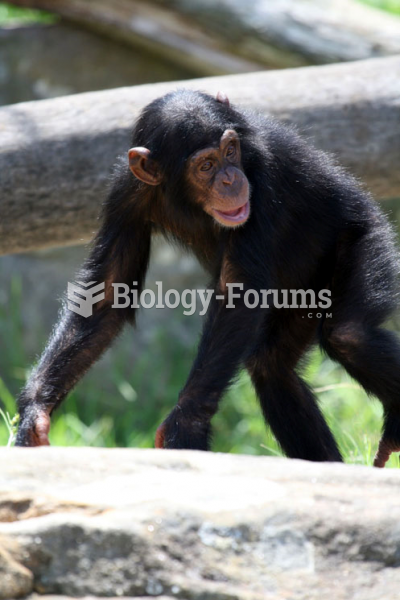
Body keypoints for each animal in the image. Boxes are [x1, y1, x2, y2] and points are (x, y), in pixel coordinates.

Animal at [14, 89, 400, 466]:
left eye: (230, 151)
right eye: (206, 165)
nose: (231, 178)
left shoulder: (265, 175)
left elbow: (239, 292)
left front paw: (187, 422)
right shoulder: (125, 191)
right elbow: (109, 288)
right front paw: (35, 411)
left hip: (367, 237)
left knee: (349, 334)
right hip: (303, 292)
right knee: (271, 366)